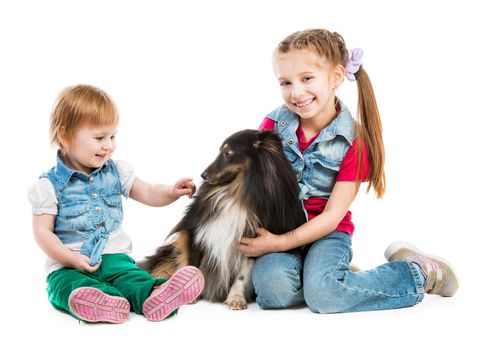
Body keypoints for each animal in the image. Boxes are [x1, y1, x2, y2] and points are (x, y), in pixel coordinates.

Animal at [139, 129, 306, 308]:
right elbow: (191, 262)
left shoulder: (253, 242)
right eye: (220, 151)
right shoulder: (195, 231)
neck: (236, 193)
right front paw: (190, 293)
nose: (203, 175)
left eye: (228, 153)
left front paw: (236, 298)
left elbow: (242, 275)